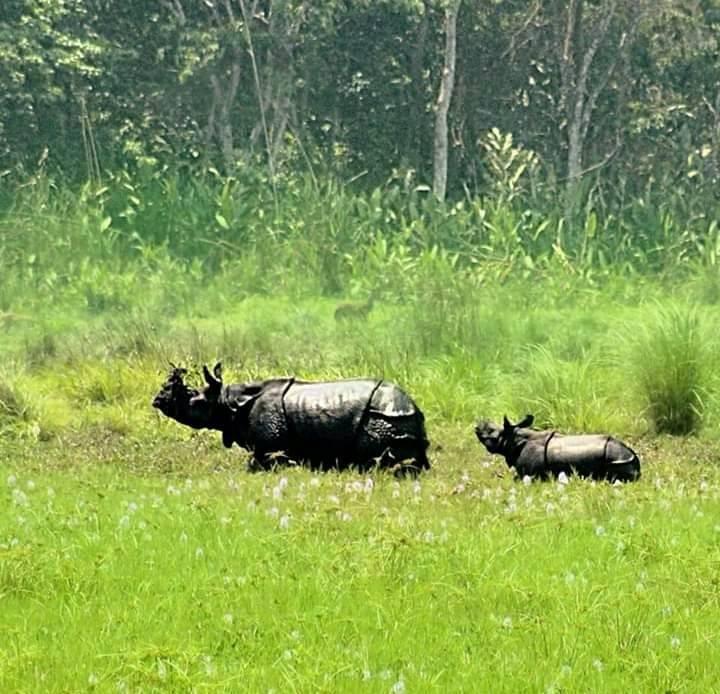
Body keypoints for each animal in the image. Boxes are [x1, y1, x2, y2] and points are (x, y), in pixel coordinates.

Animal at [151, 364, 428, 474]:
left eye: (192, 397)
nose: (158, 400)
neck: (227, 401)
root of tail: (412, 405)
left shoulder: (270, 443)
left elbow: (259, 462)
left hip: (385, 416)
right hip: (399, 416)